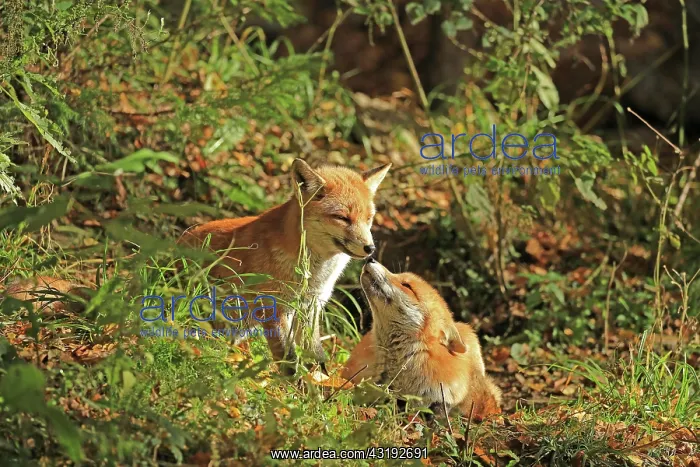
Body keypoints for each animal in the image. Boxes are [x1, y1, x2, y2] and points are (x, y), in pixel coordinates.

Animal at [178, 158, 391, 373]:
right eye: (342, 218)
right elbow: (289, 361)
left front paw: (320, 381)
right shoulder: (273, 307)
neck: (313, 275)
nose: (370, 248)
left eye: (368, 218)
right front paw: (294, 382)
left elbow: (316, 356)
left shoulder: (310, 307)